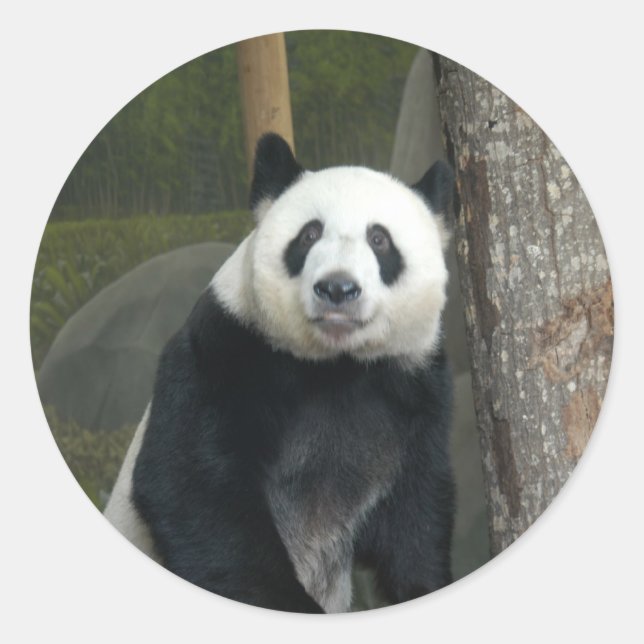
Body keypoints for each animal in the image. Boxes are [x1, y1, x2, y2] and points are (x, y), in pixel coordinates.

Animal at [104, 133, 455, 614]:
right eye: (309, 234)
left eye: (380, 239)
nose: (337, 288)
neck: (336, 363)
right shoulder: (226, 352)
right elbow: (193, 492)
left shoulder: (412, 387)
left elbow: (414, 515)